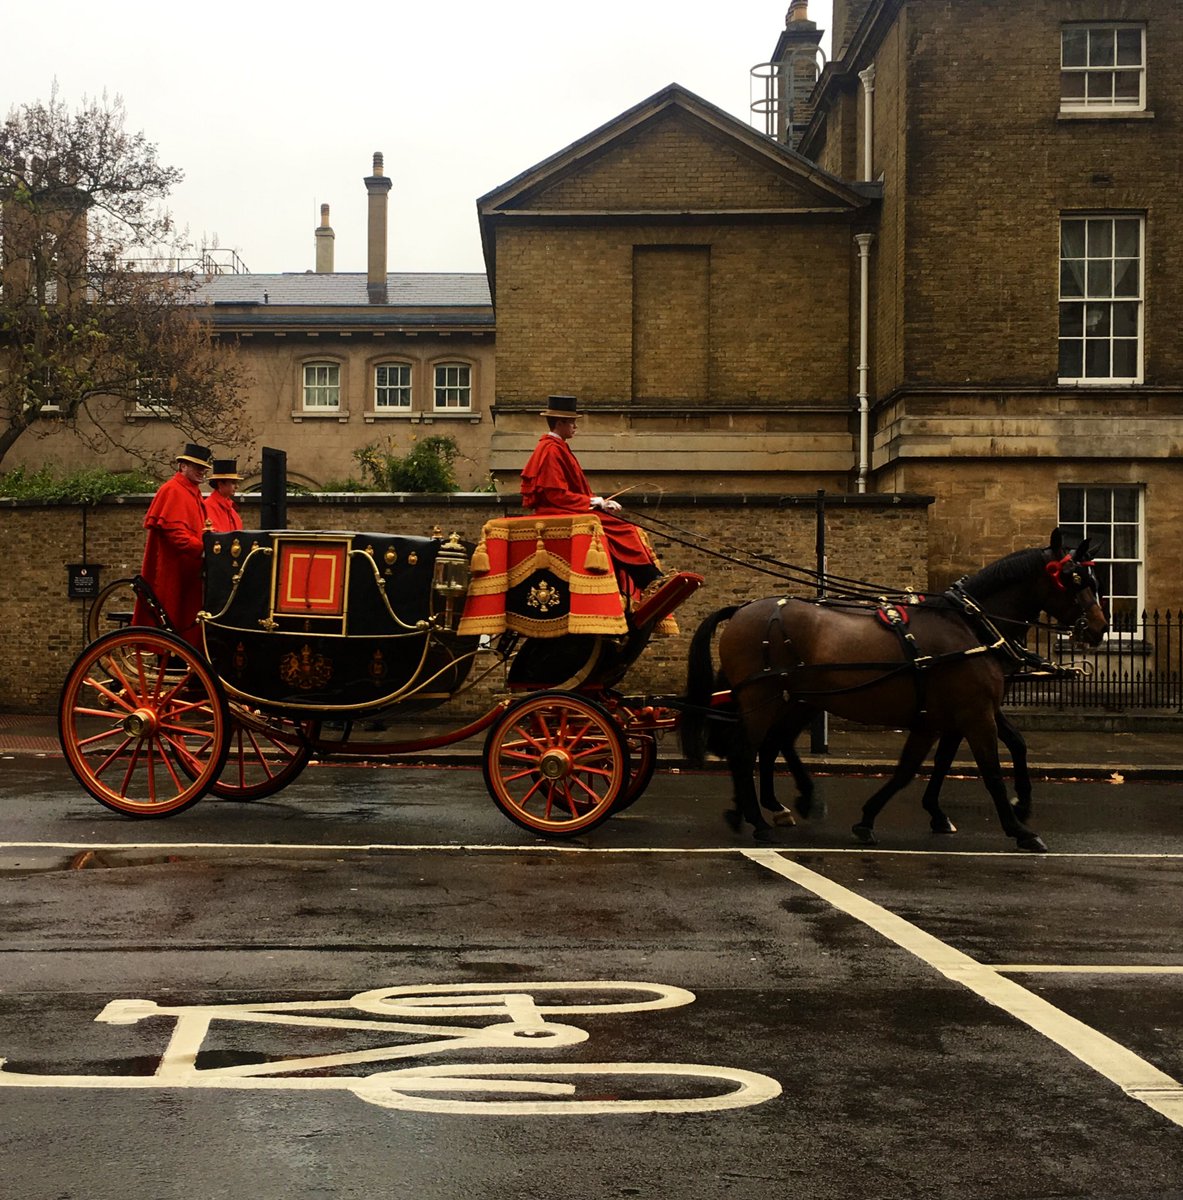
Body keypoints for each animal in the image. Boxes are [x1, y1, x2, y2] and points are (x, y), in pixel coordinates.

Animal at [681, 530, 1108, 849]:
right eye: (1074, 580)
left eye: (1093, 579)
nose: (1100, 628)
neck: (969, 626)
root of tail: (742, 609)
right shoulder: (974, 714)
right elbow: (988, 771)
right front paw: (1018, 827)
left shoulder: (948, 716)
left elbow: (922, 766)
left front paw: (885, 816)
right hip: (763, 698)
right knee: (745, 751)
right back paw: (758, 819)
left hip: (790, 699)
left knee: (767, 746)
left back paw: (764, 807)